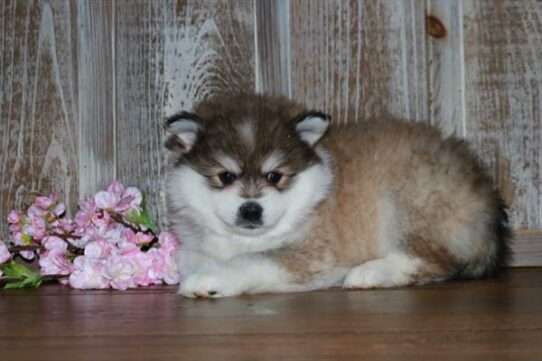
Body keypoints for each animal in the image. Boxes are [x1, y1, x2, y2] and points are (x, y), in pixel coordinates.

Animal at [164, 93, 512, 298]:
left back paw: (369, 273)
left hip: (410, 197)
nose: (251, 210)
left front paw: (210, 279)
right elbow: (186, 256)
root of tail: (488, 199)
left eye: (275, 176)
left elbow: (251, 259)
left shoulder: (314, 255)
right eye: (226, 176)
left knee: (433, 261)